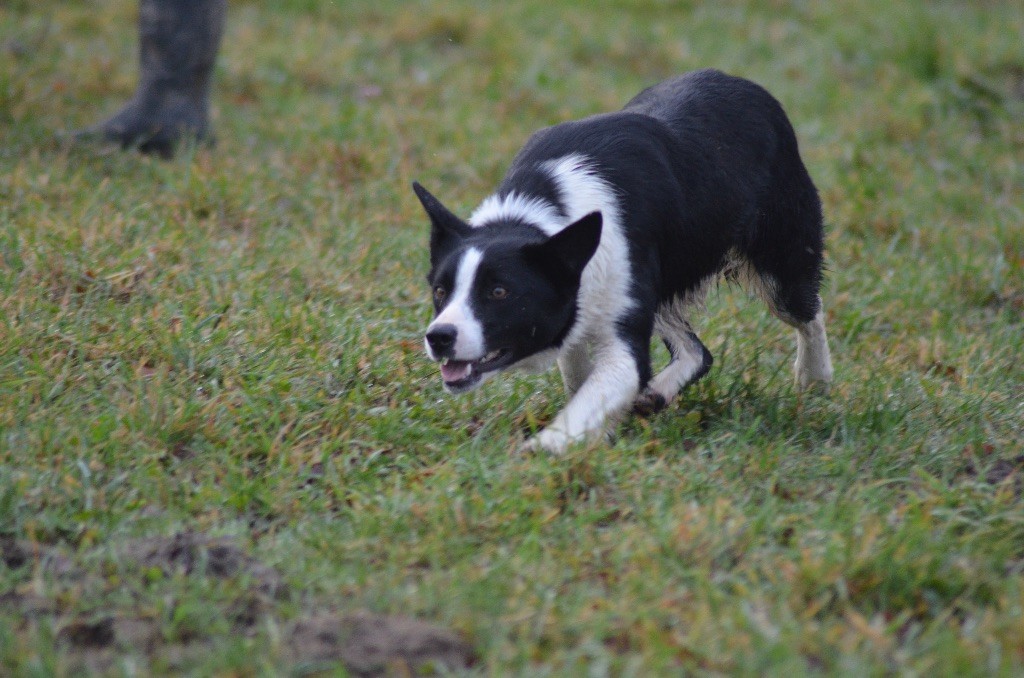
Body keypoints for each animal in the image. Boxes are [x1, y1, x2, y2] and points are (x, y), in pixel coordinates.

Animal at [413, 69, 831, 454]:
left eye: (499, 292)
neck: (545, 216)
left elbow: (597, 392)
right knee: (699, 351)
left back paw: (814, 380)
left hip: (782, 257)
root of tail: (746, 85)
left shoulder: (623, 329)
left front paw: (544, 448)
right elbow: (582, 383)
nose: (439, 337)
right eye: (440, 291)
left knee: (807, 313)